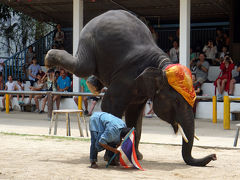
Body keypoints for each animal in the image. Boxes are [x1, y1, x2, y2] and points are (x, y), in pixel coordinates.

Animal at [44, 9, 216, 166]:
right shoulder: (127, 78)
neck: (161, 65)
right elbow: (109, 104)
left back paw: (92, 85)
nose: (213, 156)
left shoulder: (140, 90)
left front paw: (137, 156)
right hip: (88, 39)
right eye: (177, 102)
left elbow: (135, 114)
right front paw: (112, 158)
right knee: (83, 67)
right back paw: (48, 58)